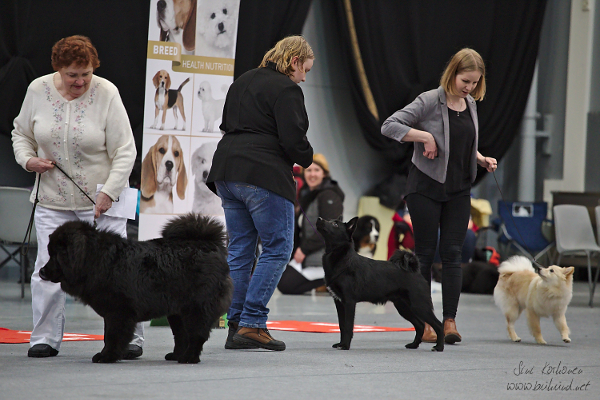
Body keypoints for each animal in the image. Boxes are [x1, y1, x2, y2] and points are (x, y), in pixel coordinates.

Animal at [39, 214, 232, 364]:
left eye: (54, 255)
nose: (41, 271)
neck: (95, 258)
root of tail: (210, 245)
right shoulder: (112, 312)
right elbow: (109, 335)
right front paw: (107, 354)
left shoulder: (119, 312)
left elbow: (112, 336)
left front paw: (107, 356)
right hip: (177, 311)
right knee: (181, 335)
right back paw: (177, 355)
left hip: (196, 308)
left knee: (196, 335)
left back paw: (189, 358)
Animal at [316, 217, 442, 352]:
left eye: (335, 224)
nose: (319, 219)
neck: (343, 259)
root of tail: (415, 270)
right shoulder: (339, 302)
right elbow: (342, 326)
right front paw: (340, 344)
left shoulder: (349, 302)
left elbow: (348, 326)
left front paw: (345, 345)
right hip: (404, 307)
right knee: (420, 325)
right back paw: (414, 345)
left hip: (419, 305)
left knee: (438, 324)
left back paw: (439, 347)